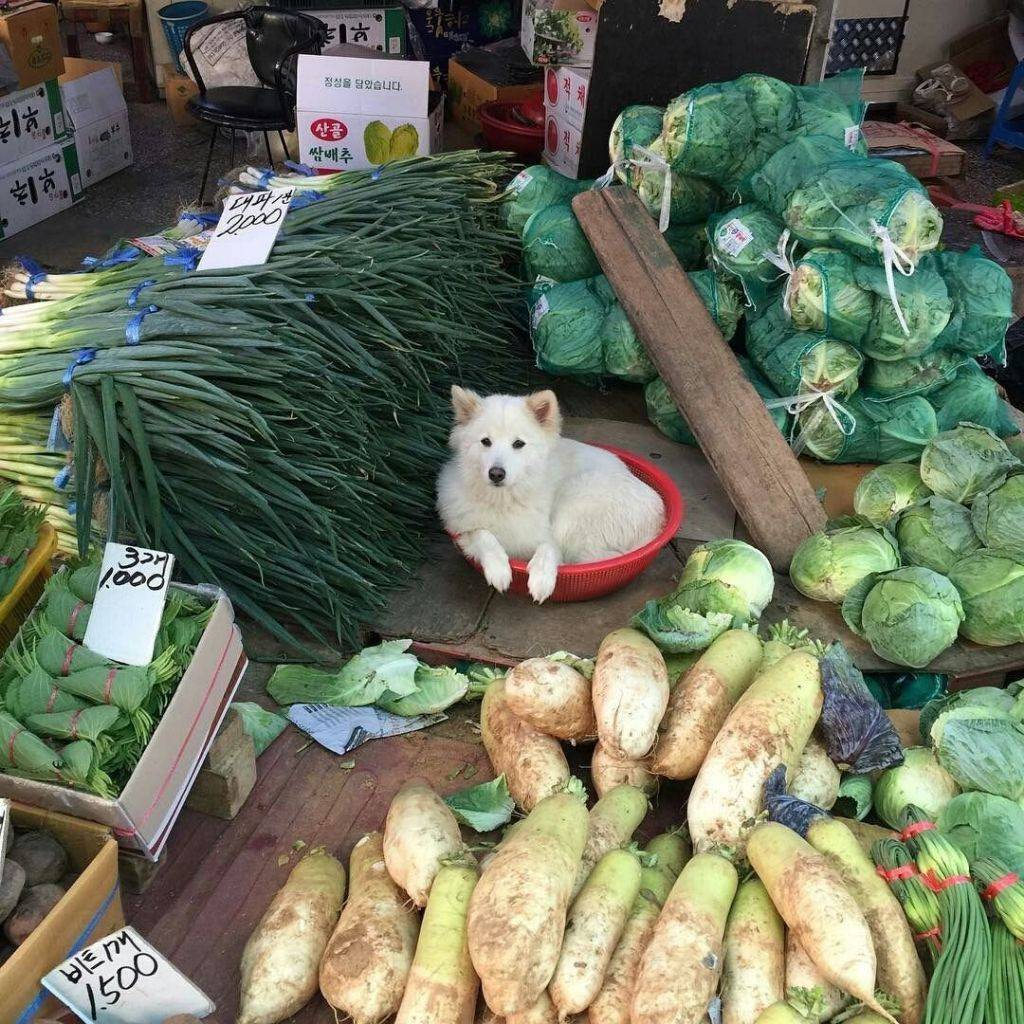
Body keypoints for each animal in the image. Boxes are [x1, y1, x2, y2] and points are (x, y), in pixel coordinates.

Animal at [438, 387, 663, 602]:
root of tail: (658, 519)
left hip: (572, 502)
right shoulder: (462, 530)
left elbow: (548, 549)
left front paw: (541, 580)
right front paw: (499, 569)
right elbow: (483, 534)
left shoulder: (546, 536)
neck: (505, 499)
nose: (496, 474)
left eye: (518, 444)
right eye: (486, 441)